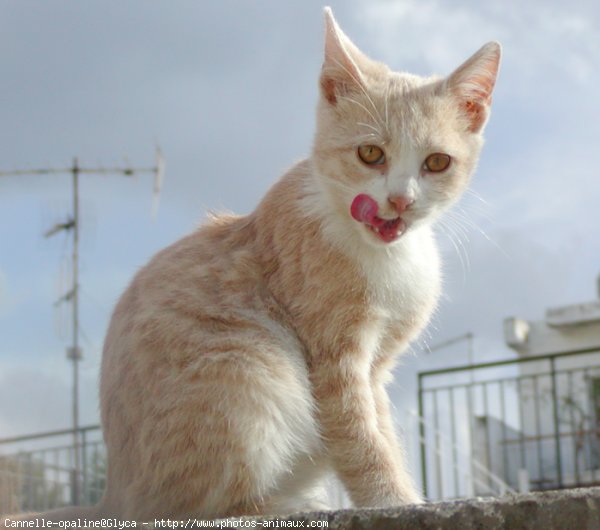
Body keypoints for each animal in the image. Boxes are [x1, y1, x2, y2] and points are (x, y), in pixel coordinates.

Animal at [1, 7, 502, 524]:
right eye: (370, 154)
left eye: (437, 162)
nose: (400, 201)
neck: (383, 254)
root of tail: (112, 496)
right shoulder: (333, 361)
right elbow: (361, 439)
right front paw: (394, 501)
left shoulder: (377, 368)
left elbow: (381, 429)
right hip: (250, 368)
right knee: (201, 505)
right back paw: (281, 503)